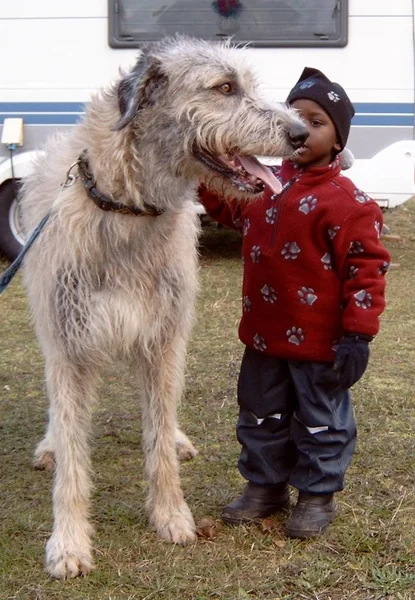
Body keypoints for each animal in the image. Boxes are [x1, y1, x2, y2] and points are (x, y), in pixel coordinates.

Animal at [19, 35, 308, 580]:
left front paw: (172, 515)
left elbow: (157, 441)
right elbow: (72, 450)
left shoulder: (164, 337)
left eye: (247, 84)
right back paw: (49, 446)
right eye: (224, 88)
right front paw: (68, 542)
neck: (126, 209)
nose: (301, 133)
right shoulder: (69, 341)